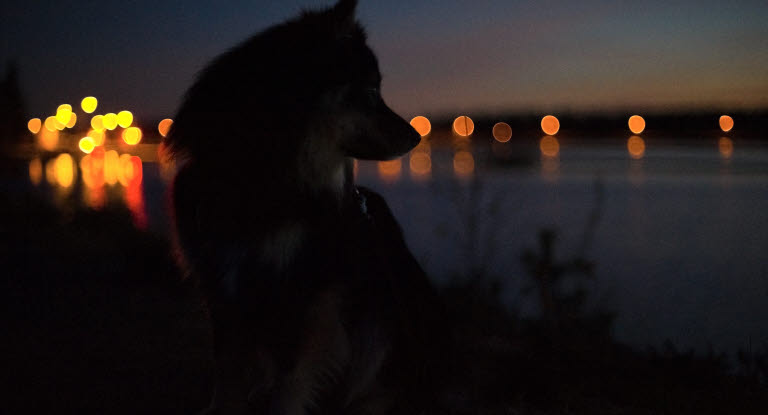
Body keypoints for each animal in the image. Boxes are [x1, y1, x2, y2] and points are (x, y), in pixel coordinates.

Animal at [165, 1, 448, 414]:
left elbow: (288, 385)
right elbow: (227, 376)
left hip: (386, 321)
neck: (259, 177)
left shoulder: (301, 293)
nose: (417, 137)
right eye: (370, 92)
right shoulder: (220, 283)